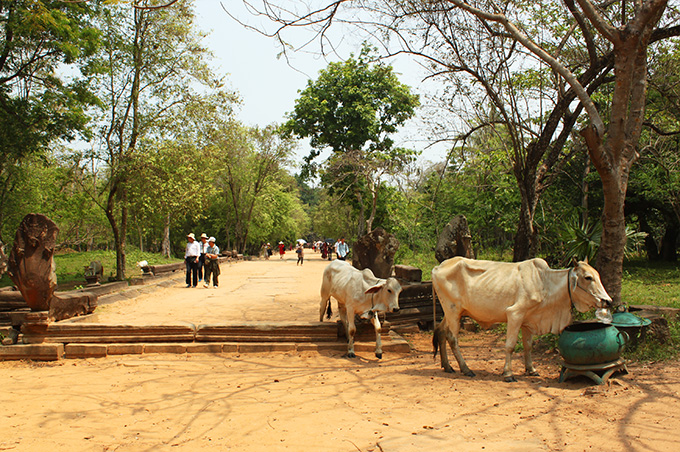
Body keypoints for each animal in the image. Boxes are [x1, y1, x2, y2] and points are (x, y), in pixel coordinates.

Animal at [432, 258, 612, 382]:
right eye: (588, 277)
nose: (608, 301)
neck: (545, 283)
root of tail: (437, 267)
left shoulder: (528, 321)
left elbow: (528, 346)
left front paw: (531, 369)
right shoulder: (515, 314)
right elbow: (510, 346)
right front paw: (508, 373)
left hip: (452, 312)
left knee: (440, 331)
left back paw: (447, 366)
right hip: (453, 311)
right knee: (452, 338)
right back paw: (465, 368)